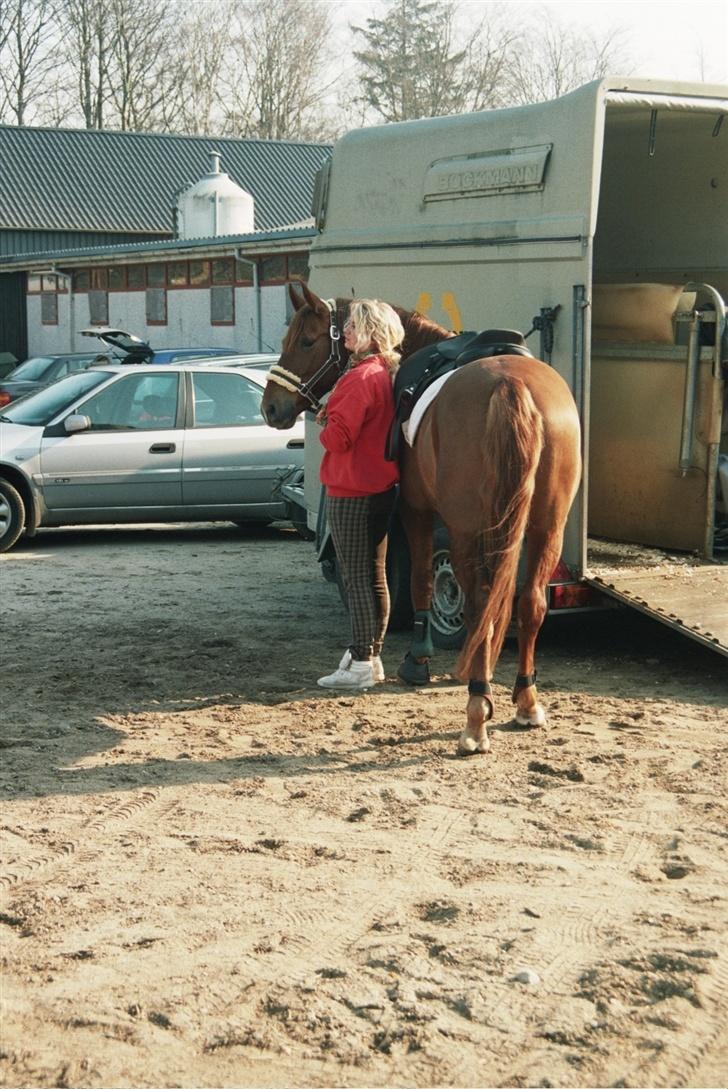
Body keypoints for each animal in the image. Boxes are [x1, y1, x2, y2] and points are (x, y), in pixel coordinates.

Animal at [264, 283, 583, 757]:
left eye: (305, 341)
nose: (270, 407)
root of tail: (513, 387)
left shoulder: (416, 510)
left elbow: (421, 583)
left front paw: (418, 660)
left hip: (468, 529)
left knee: (477, 604)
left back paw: (476, 716)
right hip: (547, 526)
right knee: (528, 603)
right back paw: (525, 701)